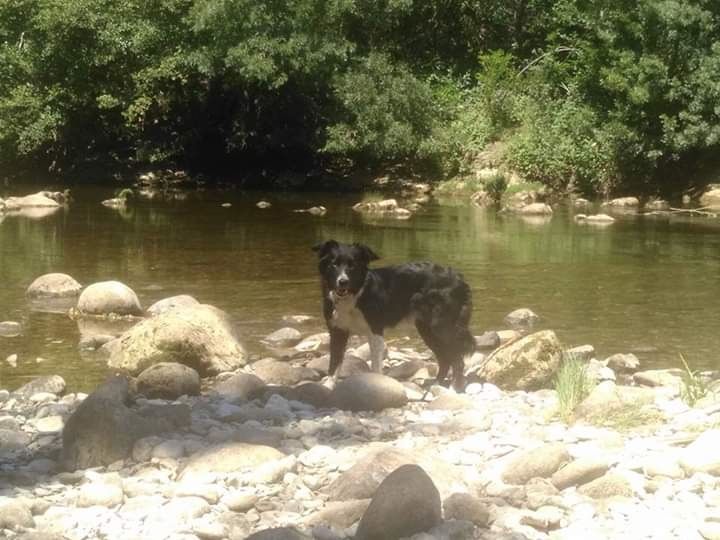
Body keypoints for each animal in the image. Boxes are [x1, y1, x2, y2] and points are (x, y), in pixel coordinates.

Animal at [312, 240, 476, 392]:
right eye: (334, 264)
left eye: (352, 266)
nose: (343, 281)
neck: (355, 295)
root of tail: (459, 278)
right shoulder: (337, 331)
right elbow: (334, 363)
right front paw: (327, 387)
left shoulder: (375, 331)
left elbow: (375, 365)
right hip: (427, 330)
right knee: (445, 359)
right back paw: (436, 385)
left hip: (442, 327)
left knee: (457, 359)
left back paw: (454, 388)